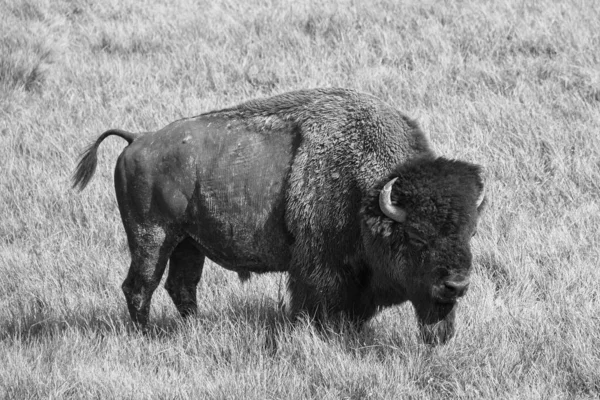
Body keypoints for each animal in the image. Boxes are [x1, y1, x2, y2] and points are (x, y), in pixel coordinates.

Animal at [72, 87, 486, 344]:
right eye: (416, 236)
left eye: (469, 233)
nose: (456, 285)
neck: (365, 191)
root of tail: (137, 140)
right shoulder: (317, 269)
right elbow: (314, 306)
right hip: (152, 236)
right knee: (140, 286)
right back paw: (145, 335)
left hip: (188, 243)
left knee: (181, 286)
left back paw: (194, 328)